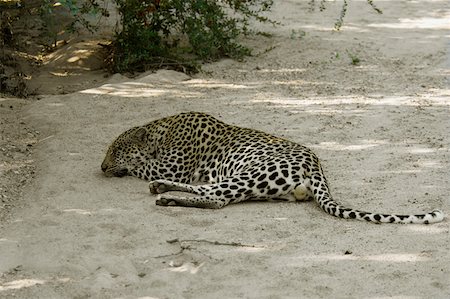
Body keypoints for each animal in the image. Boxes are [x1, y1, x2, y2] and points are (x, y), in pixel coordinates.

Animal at [101, 111, 442, 224]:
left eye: (115, 150)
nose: (102, 168)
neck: (162, 129)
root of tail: (317, 168)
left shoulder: (173, 165)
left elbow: (140, 166)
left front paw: (124, 167)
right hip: (252, 182)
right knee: (208, 192)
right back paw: (163, 191)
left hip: (249, 174)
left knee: (214, 198)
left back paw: (166, 196)